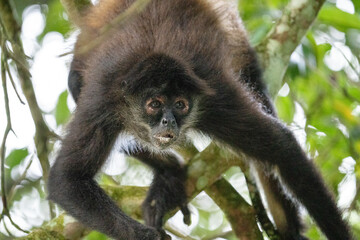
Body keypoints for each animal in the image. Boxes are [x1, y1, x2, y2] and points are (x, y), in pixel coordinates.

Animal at [47, 0, 352, 240]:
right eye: (154, 105)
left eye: (180, 105)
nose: (168, 122)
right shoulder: (104, 99)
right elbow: (67, 180)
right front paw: (144, 235)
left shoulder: (216, 98)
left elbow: (282, 149)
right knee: (75, 83)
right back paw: (168, 172)